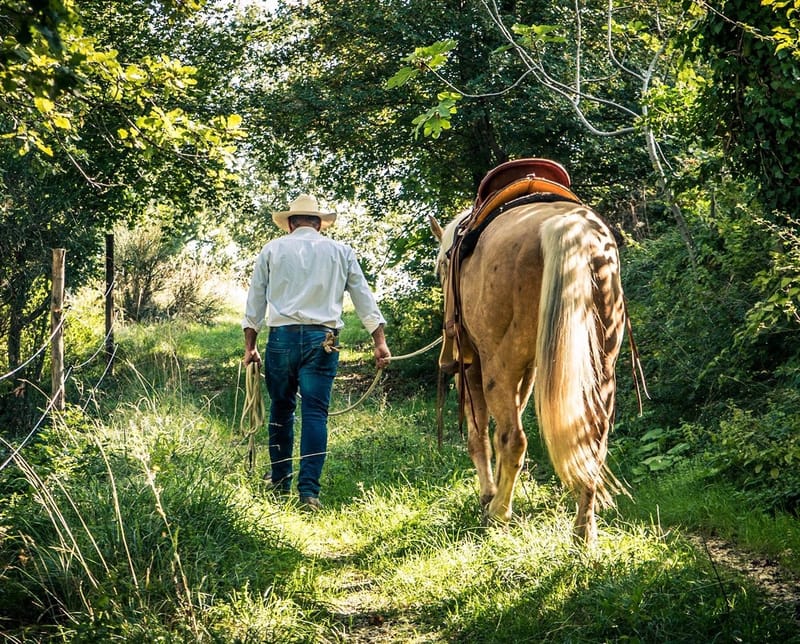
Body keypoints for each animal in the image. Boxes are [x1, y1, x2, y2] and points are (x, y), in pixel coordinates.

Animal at [432, 200, 624, 544]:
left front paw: (488, 495)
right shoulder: (528, 372)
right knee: (591, 443)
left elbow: (480, 435)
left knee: (514, 439)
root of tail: (568, 226)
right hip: (601, 368)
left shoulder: (473, 366)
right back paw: (583, 533)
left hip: (497, 366)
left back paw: (498, 514)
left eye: (440, 267)